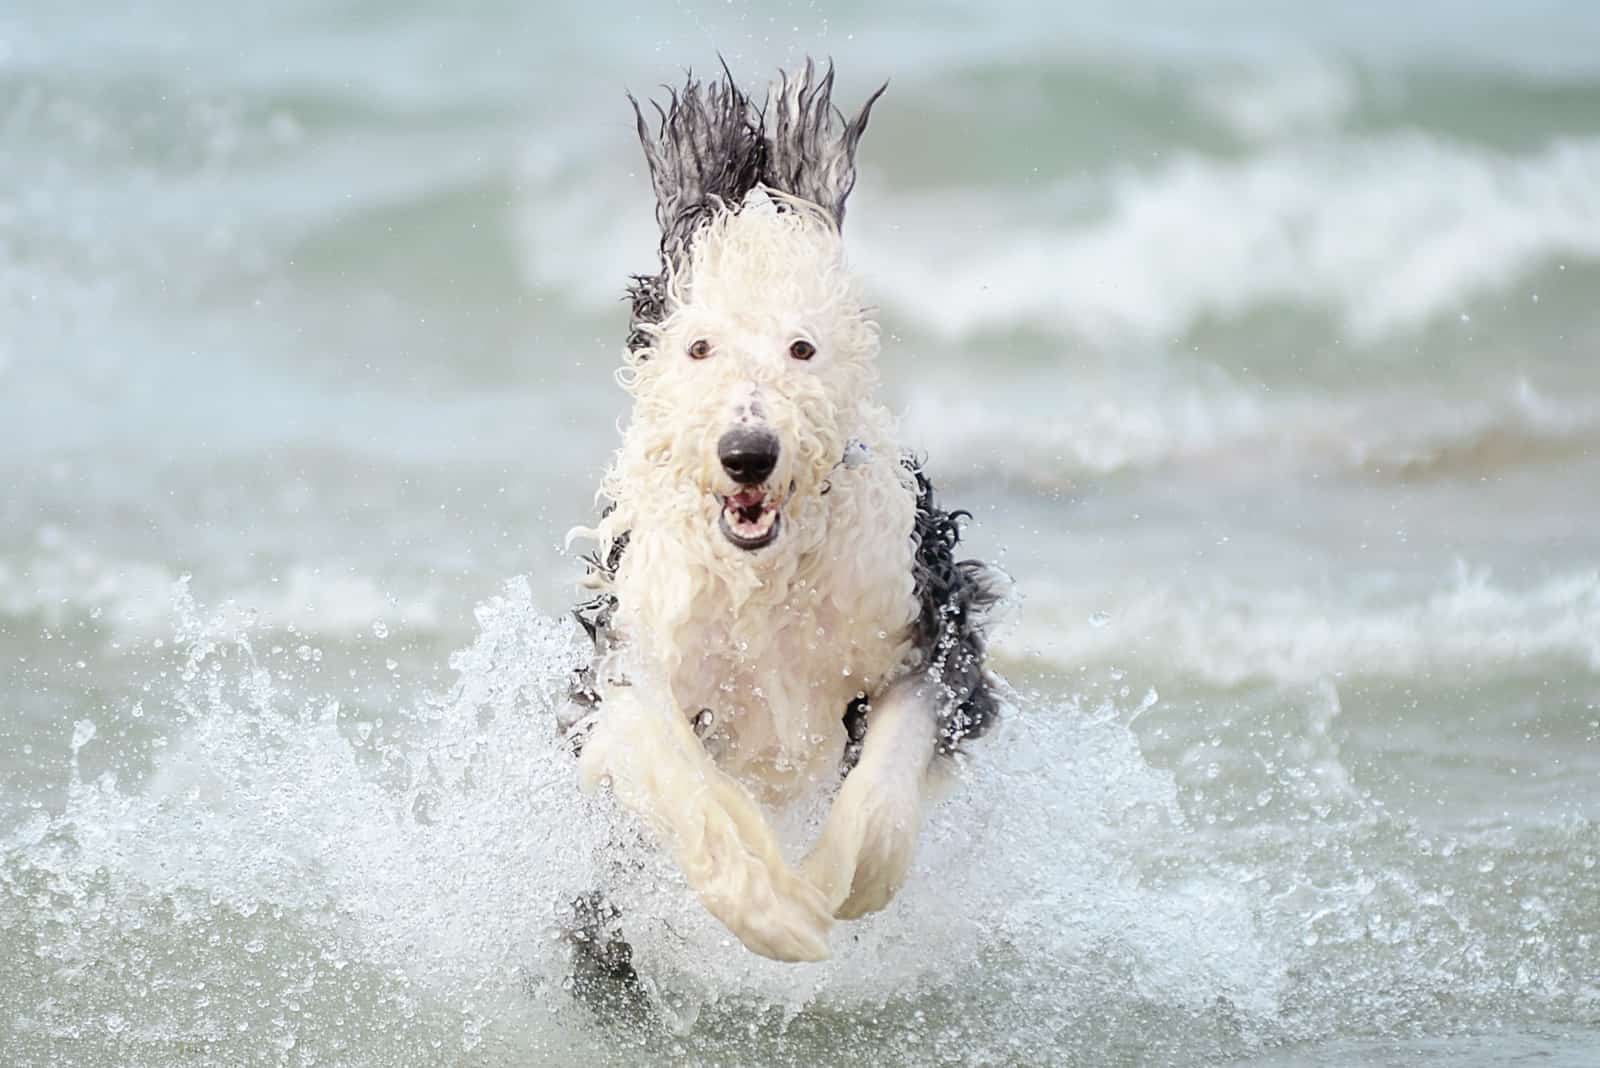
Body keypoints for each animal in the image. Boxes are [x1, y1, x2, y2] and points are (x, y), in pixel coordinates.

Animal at [569, 60, 1004, 965]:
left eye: (803, 347)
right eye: (699, 346)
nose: (748, 453)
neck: (766, 578)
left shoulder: (930, 626)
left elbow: (884, 787)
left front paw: (838, 884)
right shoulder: (631, 658)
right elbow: (680, 781)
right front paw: (779, 912)